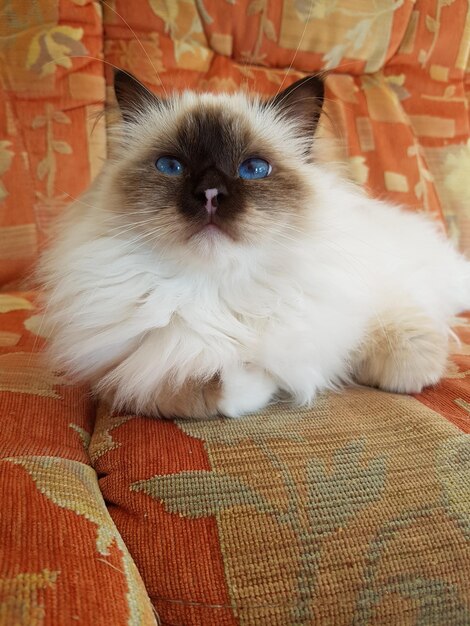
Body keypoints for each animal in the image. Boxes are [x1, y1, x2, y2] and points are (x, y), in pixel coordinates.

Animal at [37, 70, 470, 416]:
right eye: (171, 166)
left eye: (254, 169)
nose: (210, 194)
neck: (220, 291)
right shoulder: (121, 372)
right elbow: (204, 387)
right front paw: (258, 379)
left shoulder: (370, 291)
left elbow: (399, 339)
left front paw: (405, 376)